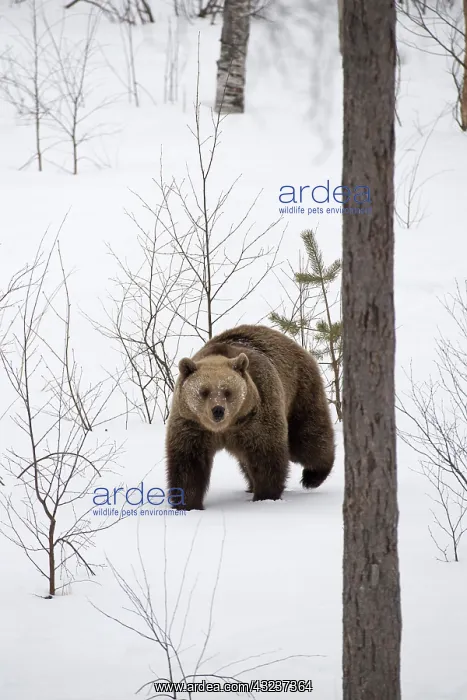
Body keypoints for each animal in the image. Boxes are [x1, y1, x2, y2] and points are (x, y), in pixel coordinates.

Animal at [165, 324, 335, 510]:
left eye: (227, 391)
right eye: (203, 391)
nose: (218, 410)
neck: (225, 427)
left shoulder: (257, 414)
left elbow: (265, 455)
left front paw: (266, 495)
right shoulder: (192, 423)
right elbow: (189, 463)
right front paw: (187, 504)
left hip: (300, 391)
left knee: (307, 441)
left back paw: (312, 477)